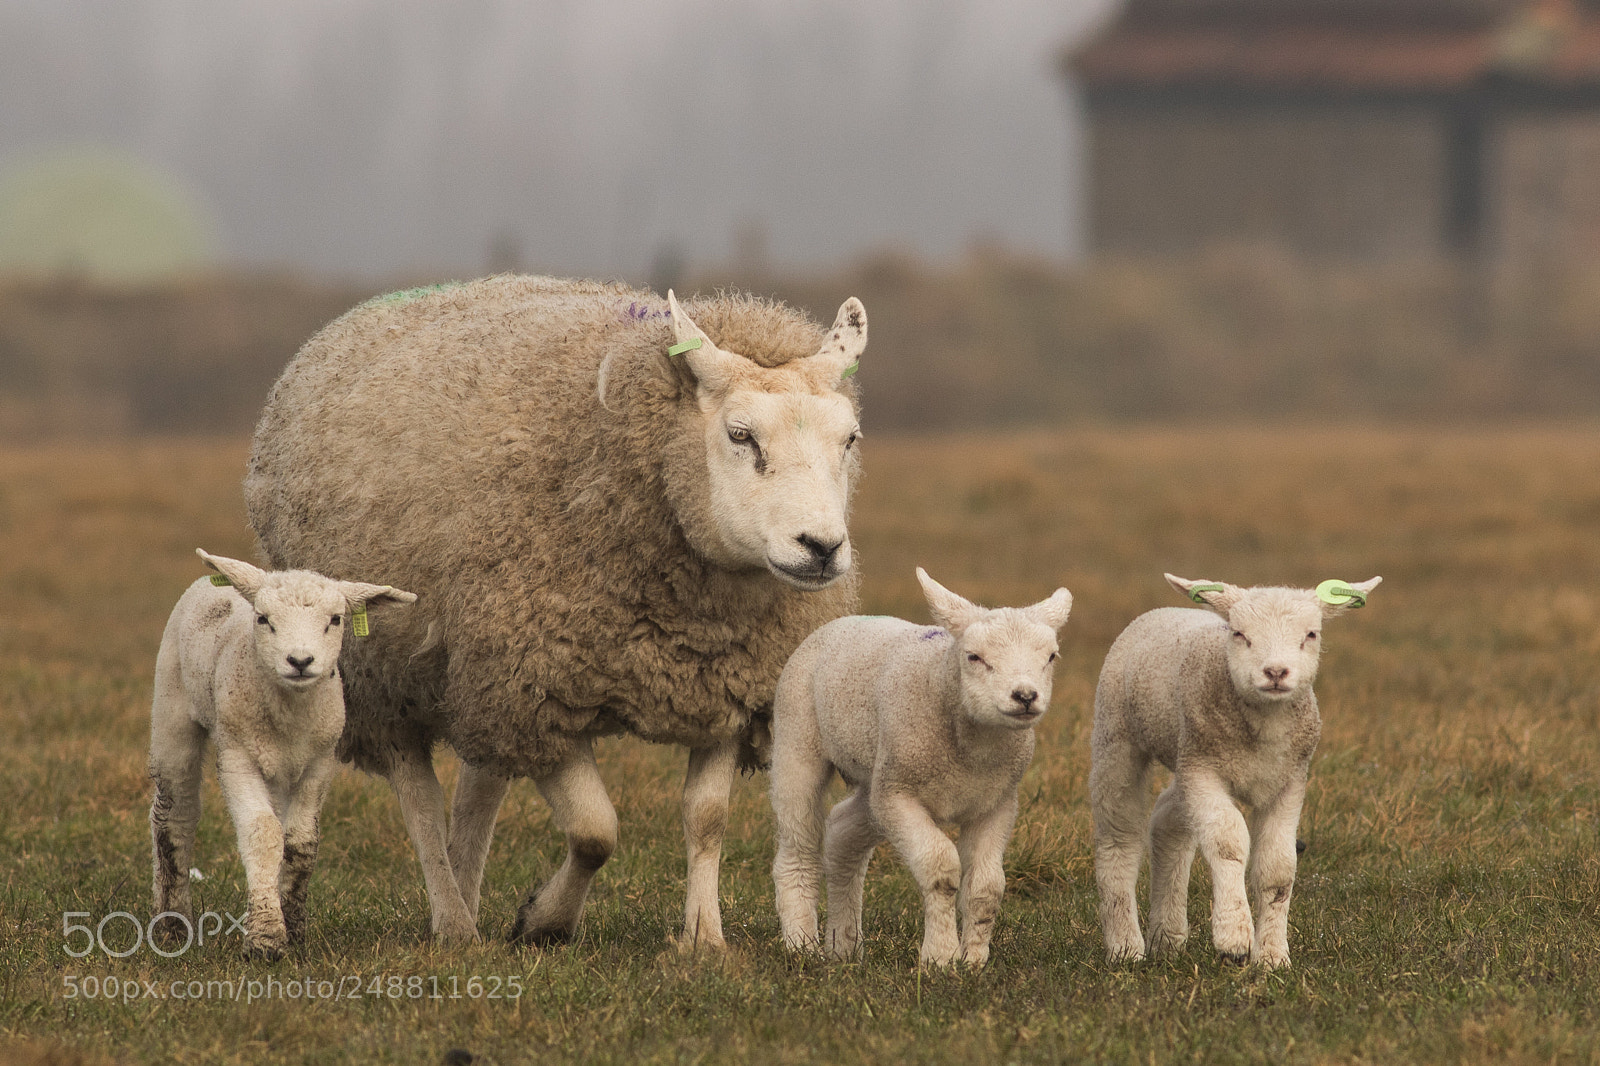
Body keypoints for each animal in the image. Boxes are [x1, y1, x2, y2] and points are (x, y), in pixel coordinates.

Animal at [148, 549, 416, 959]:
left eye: (336, 619)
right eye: (263, 619)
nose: (300, 661)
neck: (291, 715)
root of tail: (212, 582)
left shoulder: (319, 763)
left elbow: (301, 841)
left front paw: (294, 926)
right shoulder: (238, 757)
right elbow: (263, 833)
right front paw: (266, 938)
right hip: (172, 706)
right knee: (174, 815)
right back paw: (173, 924)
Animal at [244, 275, 868, 949]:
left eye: (849, 439)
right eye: (740, 435)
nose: (822, 548)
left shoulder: (731, 689)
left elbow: (707, 818)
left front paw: (704, 939)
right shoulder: (540, 683)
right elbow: (596, 831)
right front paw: (545, 920)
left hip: (474, 667)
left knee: (478, 793)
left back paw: (467, 895)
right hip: (386, 673)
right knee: (421, 801)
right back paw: (454, 921)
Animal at [770, 567, 1072, 967]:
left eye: (1051, 656)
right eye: (974, 657)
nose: (1025, 697)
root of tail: (840, 622)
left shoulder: (997, 803)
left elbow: (987, 887)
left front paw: (974, 962)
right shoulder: (900, 797)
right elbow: (941, 868)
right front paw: (940, 958)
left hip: (877, 776)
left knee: (842, 833)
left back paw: (844, 946)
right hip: (798, 736)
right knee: (798, 847)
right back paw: (802, 945)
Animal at [1091, 573, 1380, 968]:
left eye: (1311, 634)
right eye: (1240, 634)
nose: (1275, 672)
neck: (1265, 725)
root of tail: (1161, 610)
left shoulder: (1289, 781)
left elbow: (1277, 869)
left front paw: (1272, 956)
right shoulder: (1205, 772)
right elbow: (1228, 843)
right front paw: (1234, 936)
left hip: (1184, 757)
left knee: (1166, 821)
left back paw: (1167, 936)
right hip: (1119, 735)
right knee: (1119, 837)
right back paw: (1125, 946)